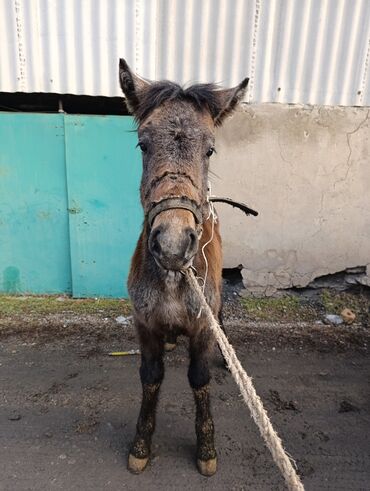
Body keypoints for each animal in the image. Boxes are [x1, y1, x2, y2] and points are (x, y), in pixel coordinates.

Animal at [119, 57, 249, 476]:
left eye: (210, 150)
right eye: (143, 144)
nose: (173, 244)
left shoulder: (203, 325)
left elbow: (199, 378)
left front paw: (206, 449)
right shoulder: (144, 323)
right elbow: (151, 377)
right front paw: (141, 446)